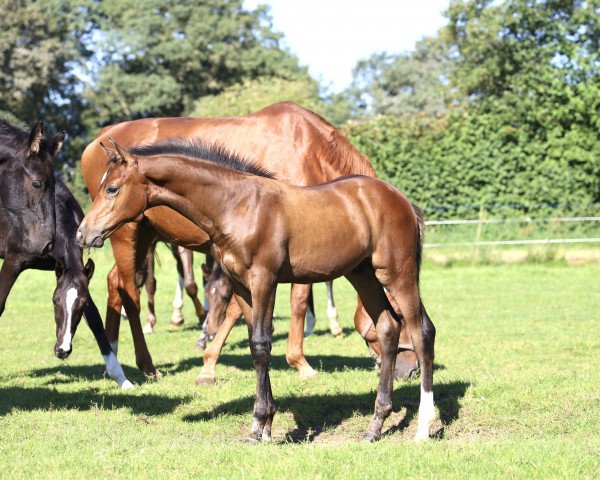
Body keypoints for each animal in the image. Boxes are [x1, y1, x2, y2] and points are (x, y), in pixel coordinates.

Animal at [0, 118, 132, 388]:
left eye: (80, 305)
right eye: (54, 301)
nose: (62, 350)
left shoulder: (73, 273)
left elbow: (96, 320)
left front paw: (121, 377)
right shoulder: (13, 262)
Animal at [78, 140, 436, 442]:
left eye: (112, 188)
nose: (83, 234)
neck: (237, 205)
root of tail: (403, 201)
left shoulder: (264, 279)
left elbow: (261, 343)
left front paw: (260, 424)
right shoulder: (241, 285)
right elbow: (254, 344)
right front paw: (262, 427)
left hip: (396, 273)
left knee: (421, 331)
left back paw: (423, 426)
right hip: (363, 275)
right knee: (388, 327)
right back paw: (375, 426)